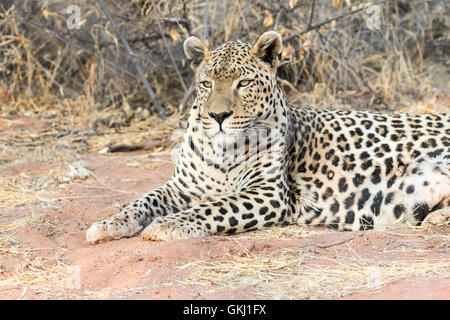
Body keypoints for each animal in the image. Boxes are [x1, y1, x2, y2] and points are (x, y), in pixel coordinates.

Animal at [86, 31, 448, 242]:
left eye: (243, 83)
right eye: (206, 84)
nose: (218, 116)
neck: (223, 150)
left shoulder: (269, 193)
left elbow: (215, 206)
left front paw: (167, 225)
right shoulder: (183, 186)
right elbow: (144, 199)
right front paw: (109, 224)